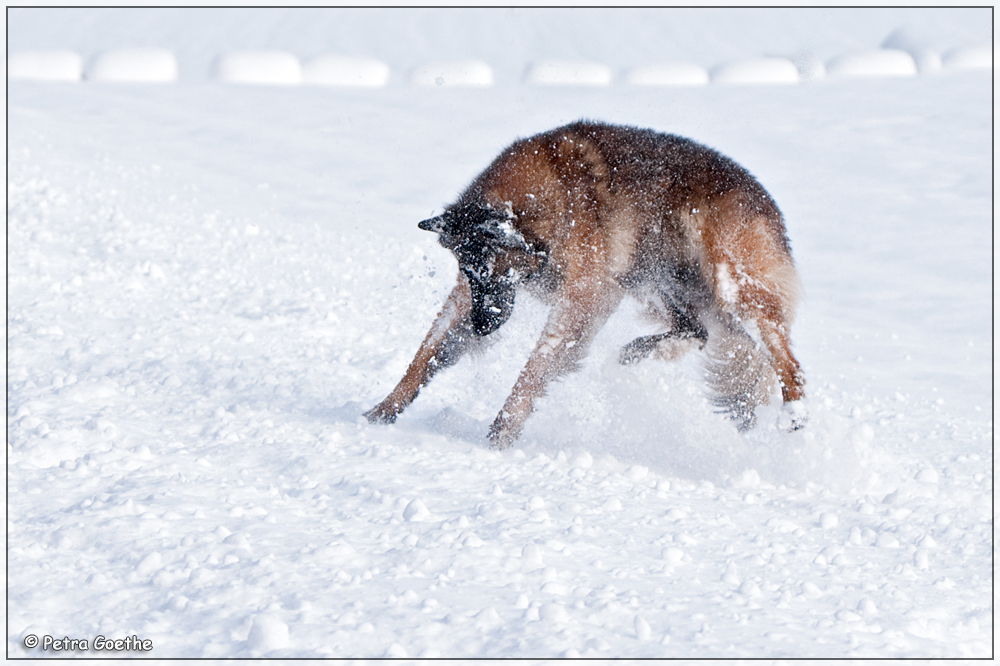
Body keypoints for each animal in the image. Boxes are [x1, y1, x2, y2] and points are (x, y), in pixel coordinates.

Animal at [366, 122, 804, 448]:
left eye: (494, 271)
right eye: (470, 272)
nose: (481, 328)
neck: (550, 196)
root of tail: (768, 204)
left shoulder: (583, 298)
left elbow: (537, 364)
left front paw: (503, 429)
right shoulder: (468, 299)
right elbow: (428, 352)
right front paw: (383, 410)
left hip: (732, 287)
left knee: (787, 362)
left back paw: (794, 416)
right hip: (653, 278)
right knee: (697, 331)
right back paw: (634, 353)